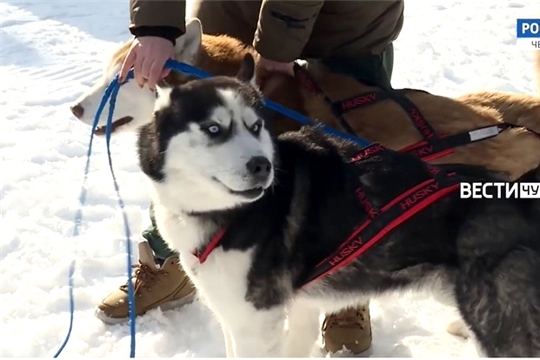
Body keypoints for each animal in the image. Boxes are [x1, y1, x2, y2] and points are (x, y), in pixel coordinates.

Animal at [137, 53, 536, 358]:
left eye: (255, 127)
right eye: (213, 129)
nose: (262, 166)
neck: (228, 212)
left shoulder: (255, 321)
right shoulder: (252, 313)